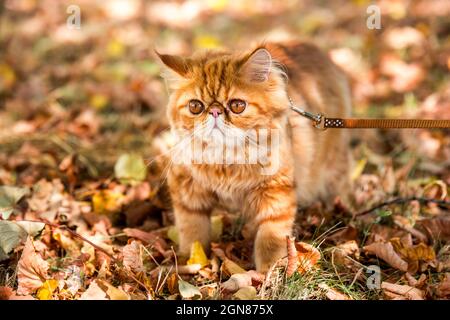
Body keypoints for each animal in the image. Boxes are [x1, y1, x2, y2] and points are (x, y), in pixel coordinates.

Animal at [156, 40, 354, 272]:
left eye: (237, 105)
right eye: (195, 106)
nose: (214, 112)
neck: (226, 161)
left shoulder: (276, 193)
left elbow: (270, 239)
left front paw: (269, 272)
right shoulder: (187, 191)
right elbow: (193, 232)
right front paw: (192, 261)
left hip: (333, 170)